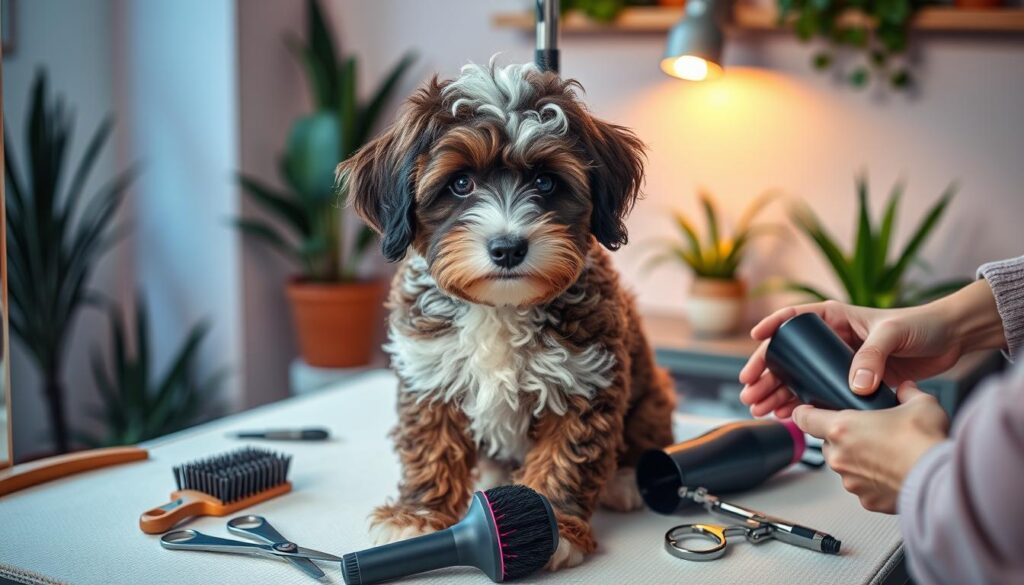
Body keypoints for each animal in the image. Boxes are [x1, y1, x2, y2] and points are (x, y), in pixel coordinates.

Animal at [344, 61, 675, 569]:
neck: (500, 307)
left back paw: (624, 480)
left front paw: (556, 529)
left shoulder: (585, 381)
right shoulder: (428, 372)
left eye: (545, 182)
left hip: (652, 387)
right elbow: (431, 447)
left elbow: (565, 457)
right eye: (461, 183)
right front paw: (418, 516)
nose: (507, 248)